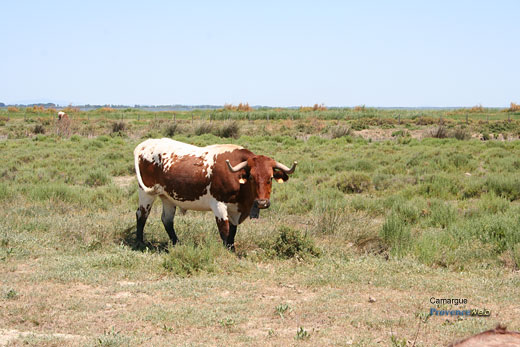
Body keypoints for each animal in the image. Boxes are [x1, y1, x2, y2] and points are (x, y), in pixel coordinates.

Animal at [134, 139, 296, 250]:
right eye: (251, 177)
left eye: (270, 178)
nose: (262, 203)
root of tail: (145, 144)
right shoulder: (219, 205)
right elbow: (224, 230)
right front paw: (227, 252)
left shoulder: (235, 209)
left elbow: (232, 233)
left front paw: (232, 250)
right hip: (146, 193)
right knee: (141, 215)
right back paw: (139, 243)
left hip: (168, 197)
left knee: (167, 220)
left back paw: (177, 244)